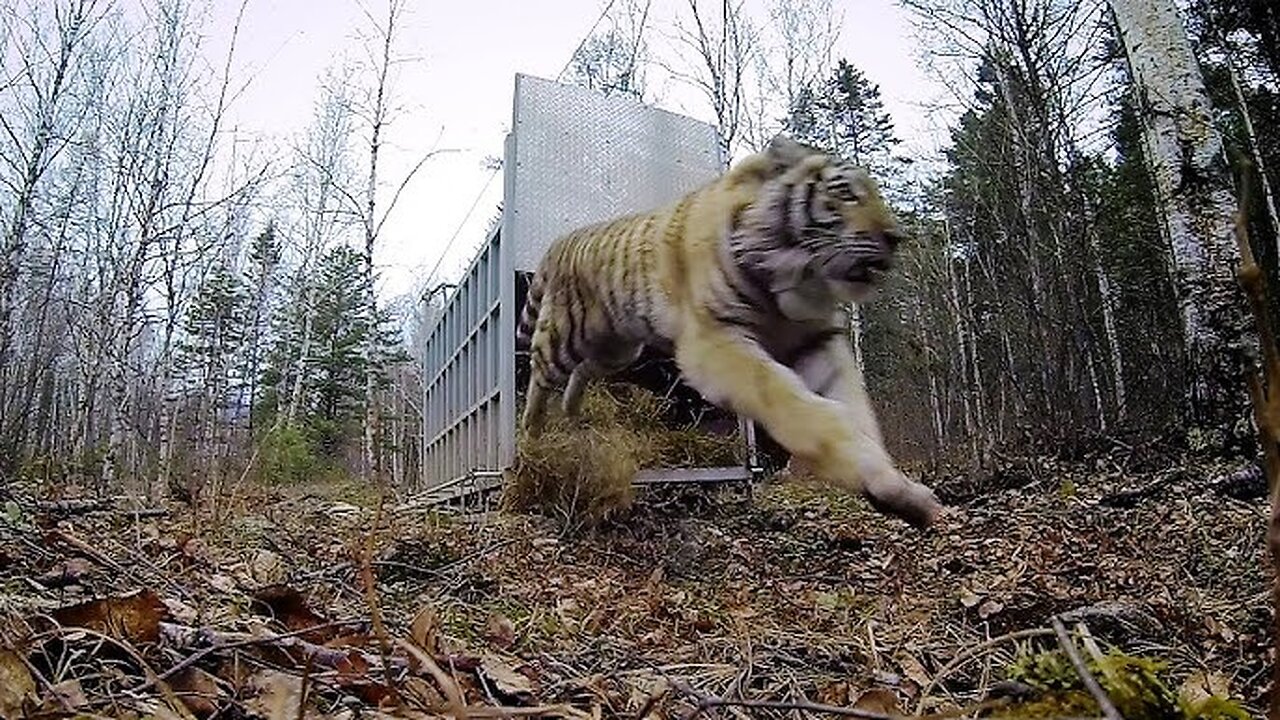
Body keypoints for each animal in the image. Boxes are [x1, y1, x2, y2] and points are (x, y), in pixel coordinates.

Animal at [514, 133, 947, 527]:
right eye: (845, 192)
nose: (896, 237)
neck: (796, 277)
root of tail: (557, 241)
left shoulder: (817, 340)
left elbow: (858, 413)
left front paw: (895, 488)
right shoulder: (715, 341)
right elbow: (797, 404)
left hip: (617, 348)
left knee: (583, 372)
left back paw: (572, 414)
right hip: (566, 334)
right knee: (540, 374)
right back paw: (530, 439)